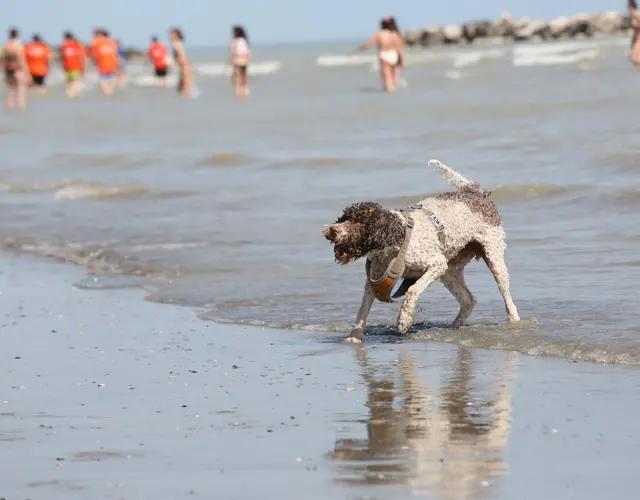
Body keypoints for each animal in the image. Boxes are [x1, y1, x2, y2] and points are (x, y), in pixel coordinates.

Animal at [324, 160, 520, 344]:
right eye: (344, 218)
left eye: (359, 222)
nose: (332, 230)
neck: (396, 239)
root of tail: (473, 191)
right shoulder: (374, 282)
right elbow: (362, 311)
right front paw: (354, 337)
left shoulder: (436, 264)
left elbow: (412, 291)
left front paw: (403, 321)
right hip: (450, 272)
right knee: (468, 300)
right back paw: (453, 328)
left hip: (493, 258)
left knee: (506, 298)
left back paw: (514, 322)